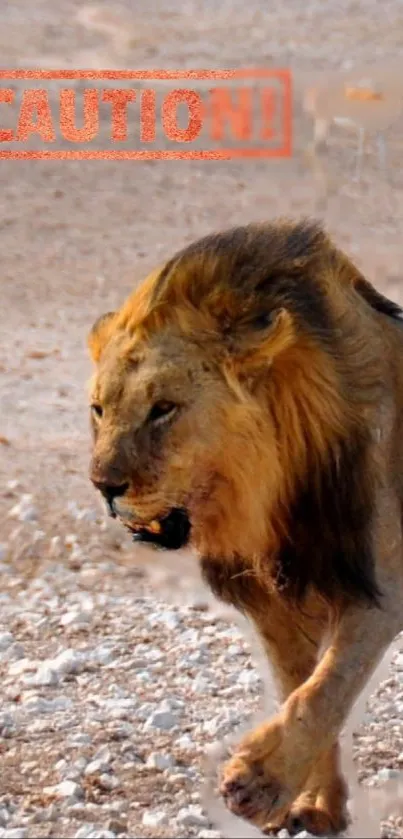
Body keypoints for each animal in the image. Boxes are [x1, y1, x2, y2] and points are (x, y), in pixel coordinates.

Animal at [87, 220, 403, 836]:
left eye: (163, 408)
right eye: (98, 410)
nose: (103, 485)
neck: (269, 495)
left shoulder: (380, 583)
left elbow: (325, 690)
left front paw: (258, 783)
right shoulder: (271, 603)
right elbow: (299, 688)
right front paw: (316, 805)